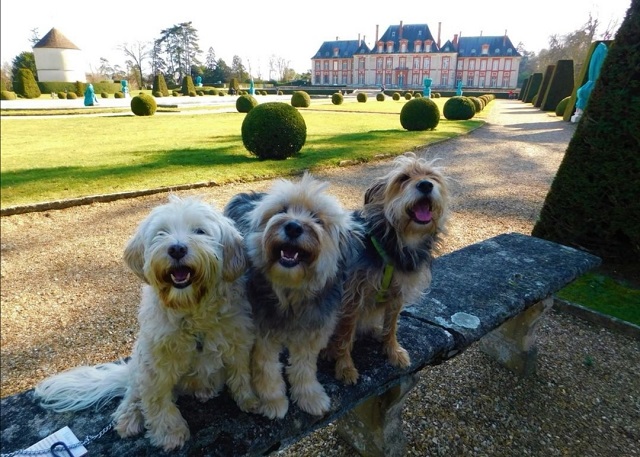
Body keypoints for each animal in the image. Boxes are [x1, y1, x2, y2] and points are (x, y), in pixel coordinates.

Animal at [35, 194, 258, 450]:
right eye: (161, 233)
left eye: (200, 231)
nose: (177, 248)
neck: (191, 312)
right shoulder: (155, 363)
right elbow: (157, 401)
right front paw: (171, 434)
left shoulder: (238, 343)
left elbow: (241, 374)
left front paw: (250, 400)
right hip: (139, 361)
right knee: (133, 393)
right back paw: (129, 417)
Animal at [225, 174, 360, 416]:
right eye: (281, 211)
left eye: (317, 219)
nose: (294, 227)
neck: (291, 294)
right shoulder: (263, 333)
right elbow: (267, 368)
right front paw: (272, 400)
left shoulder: (311, 334)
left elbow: (304, 368)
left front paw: (309, 396)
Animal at [328, 153, 448, 384]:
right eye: (403, 178)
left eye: (432, 176)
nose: (426, 185)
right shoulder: (351, 297)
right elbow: (345, 334)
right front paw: (345, 367)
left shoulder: (397, 294)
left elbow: (391, 325)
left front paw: (393, 350)